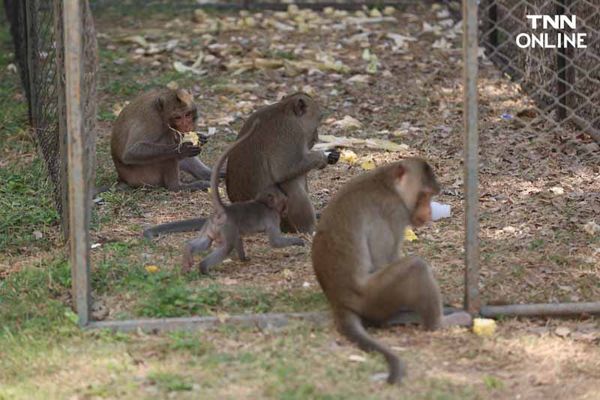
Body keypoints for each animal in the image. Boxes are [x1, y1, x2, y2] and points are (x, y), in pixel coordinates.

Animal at [182, 119, 304, 276]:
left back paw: (188, 253)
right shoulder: (272, 217)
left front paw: (243, 258)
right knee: (227, 247)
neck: (264, 203)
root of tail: (224, 210)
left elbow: (239, 238)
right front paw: (298, 242)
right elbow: (275, 242)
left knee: (206, 242)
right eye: (283, 204)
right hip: (226, 227)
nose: (285, 211)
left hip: (211, 225)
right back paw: (204, 268)